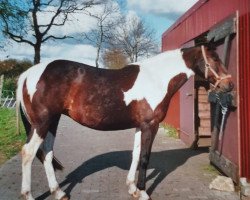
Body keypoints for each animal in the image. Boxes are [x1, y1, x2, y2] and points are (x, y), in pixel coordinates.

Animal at [16, 45, 233, 200]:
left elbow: (135, 155)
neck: (157, 79)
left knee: (47, 153)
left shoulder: (140, 125)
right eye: (214, 59)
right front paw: (143, 192)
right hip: (42, 123)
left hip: (52, 122)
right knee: (28, 153)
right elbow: (144, 157)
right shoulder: (150, 125)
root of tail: (28, 74)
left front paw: (132, 188)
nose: (229, 84)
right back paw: (28, 195)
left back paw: (59, 192)